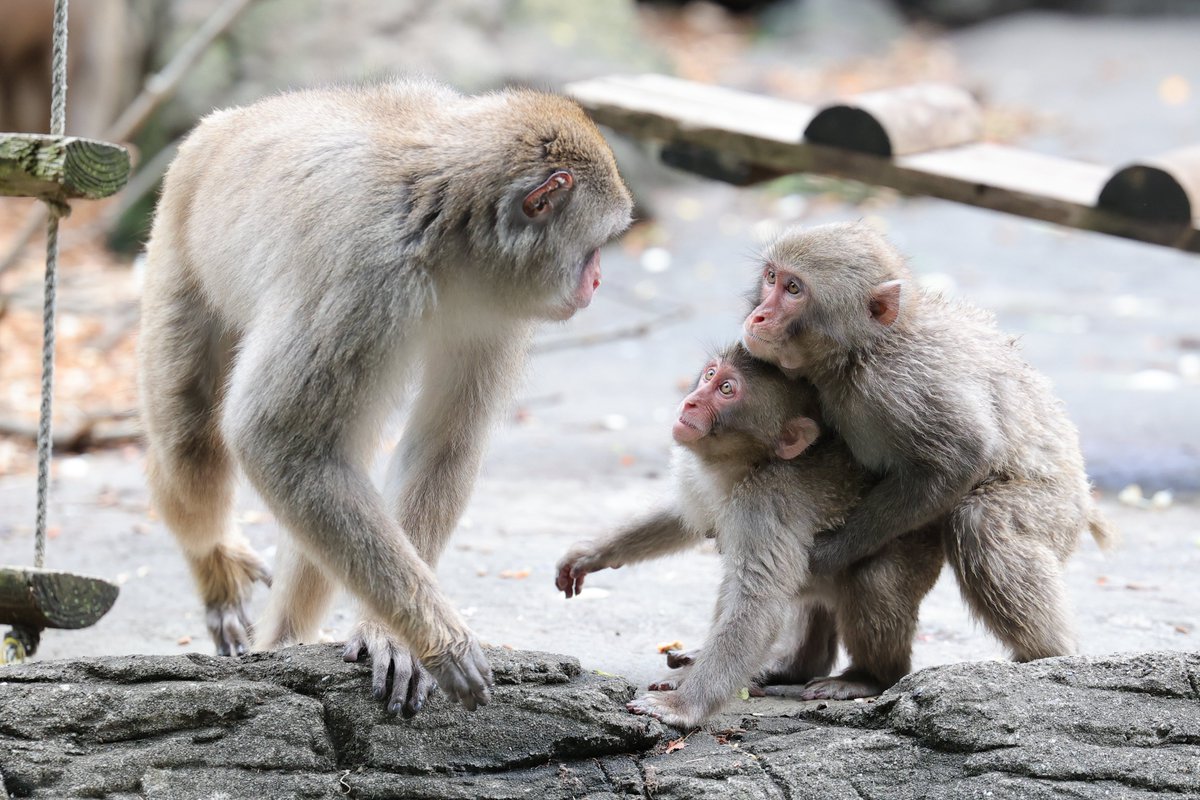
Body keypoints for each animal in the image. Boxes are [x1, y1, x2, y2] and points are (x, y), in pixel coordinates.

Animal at [138, 79, 633, 715]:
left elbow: (442, 442)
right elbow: (273, 437)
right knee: (192, 444)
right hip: (178, 241)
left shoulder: (495, 306)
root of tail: (229, 120)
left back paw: (288, 638)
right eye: (596, 245)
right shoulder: (364, 272)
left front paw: (392, 635)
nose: (595, 282)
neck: (450, 229)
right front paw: (438, 639)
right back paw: (216, 569)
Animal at [555, 343, 943, 728]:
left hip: (914, 547)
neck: (747, 466)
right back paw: (790, 666)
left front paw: (683, 705)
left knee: (872, 580)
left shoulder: (764, 503)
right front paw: (591, 553)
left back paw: (867, 677)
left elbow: (757, 601)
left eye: (727, 390)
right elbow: (680, 516)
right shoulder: (701, 475)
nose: (691, 402)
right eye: (710, 375)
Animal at [741, 222, 1112, 667]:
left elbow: (964, 456)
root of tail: (1084, 503)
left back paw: (1048, 655)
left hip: (1056, 512)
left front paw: (827, 554)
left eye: (794, 289)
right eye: (771, 278)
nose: (758, 315)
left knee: (980, 521)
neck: (860, 355)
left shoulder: (898, 386)